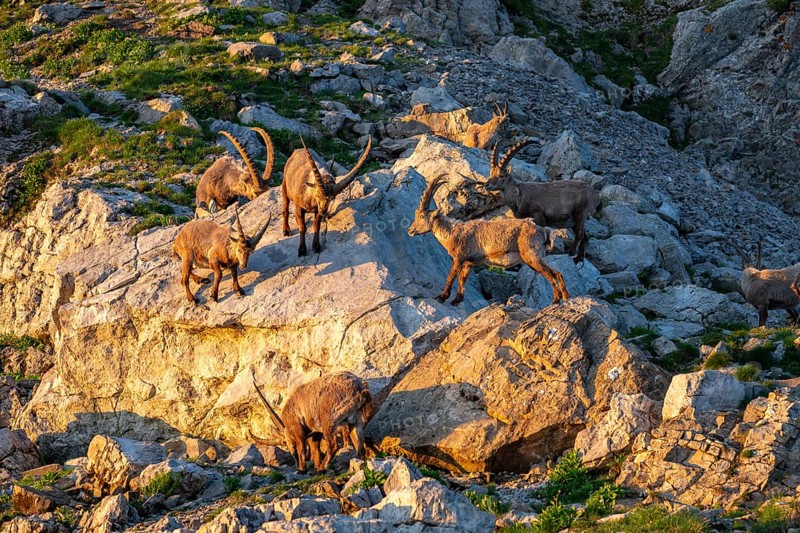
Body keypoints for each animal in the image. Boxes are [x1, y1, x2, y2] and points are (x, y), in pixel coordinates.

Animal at [408, 175, 569, 305]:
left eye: (422, 216)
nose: (410, 230)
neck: (453, 233)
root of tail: (543, 231)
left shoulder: (459, 257)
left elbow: (451, 277)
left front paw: (441, 297)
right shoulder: (470, 262)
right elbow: (462, 279)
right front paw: (457, 300)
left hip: (531, 255)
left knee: (551, 274)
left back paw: (556, 300)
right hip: (536, 257)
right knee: (557, 272)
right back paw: (566, 297)